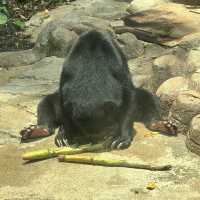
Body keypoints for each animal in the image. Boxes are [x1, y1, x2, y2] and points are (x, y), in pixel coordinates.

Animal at [20, 29, 177, 148]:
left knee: (148, 98)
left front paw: (120, 139)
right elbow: (61, 104)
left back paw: (163, 125)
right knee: (46, 102)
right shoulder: (67, 73)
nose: (93, 140)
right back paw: (36, 130)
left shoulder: (118, 68)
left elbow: (128, 98)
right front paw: (65, 135)